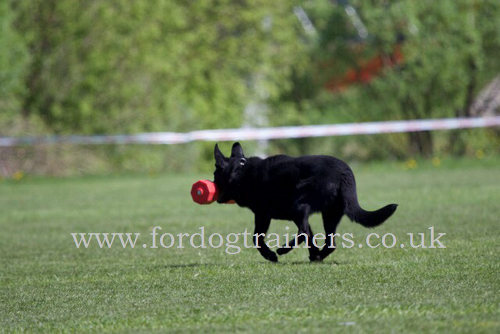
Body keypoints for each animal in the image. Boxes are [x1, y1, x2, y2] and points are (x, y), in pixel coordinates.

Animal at [213, 142, 396, 262]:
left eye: (215, 175)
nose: (211, 185)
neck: (241, 171)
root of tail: (344, 172)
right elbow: (311, 236)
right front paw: (314, 253)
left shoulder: (263, 215)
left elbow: (256, 239)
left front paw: (270, 255)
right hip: (329, 214)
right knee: (329, 242)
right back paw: (318, 256)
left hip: (299, 206)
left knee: (302, 233)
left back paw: (283, 249)